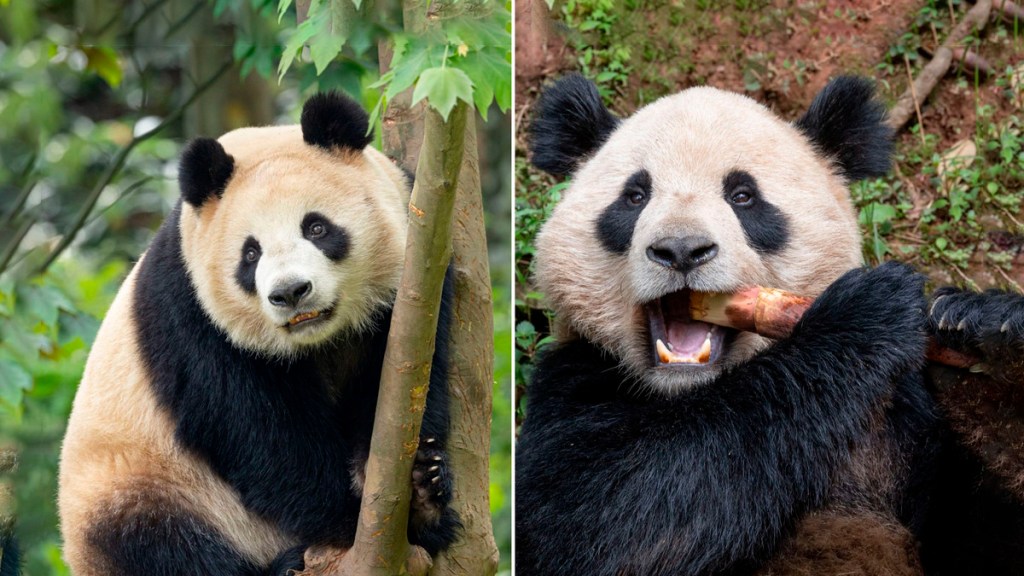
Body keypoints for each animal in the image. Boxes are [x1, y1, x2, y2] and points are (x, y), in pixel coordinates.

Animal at [57, 92, 459, 575]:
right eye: (250, 254)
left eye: (316, 227)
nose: (290, 292)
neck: (319, 340)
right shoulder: (192, 312)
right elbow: (259, 431)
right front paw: (347, 519)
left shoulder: (419, 271)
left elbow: (405, 384)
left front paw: (421, 494)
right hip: (141, 483)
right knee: (158, 544)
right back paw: (283, 564)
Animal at [516, 73, 1024, 575]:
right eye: (635, 196)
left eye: (743, 196)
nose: (680, 250)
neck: (689, 392)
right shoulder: (573, 378)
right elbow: (614, 518)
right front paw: (865, 312)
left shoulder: (902, 419)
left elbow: (985, 536)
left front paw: (987, 334)